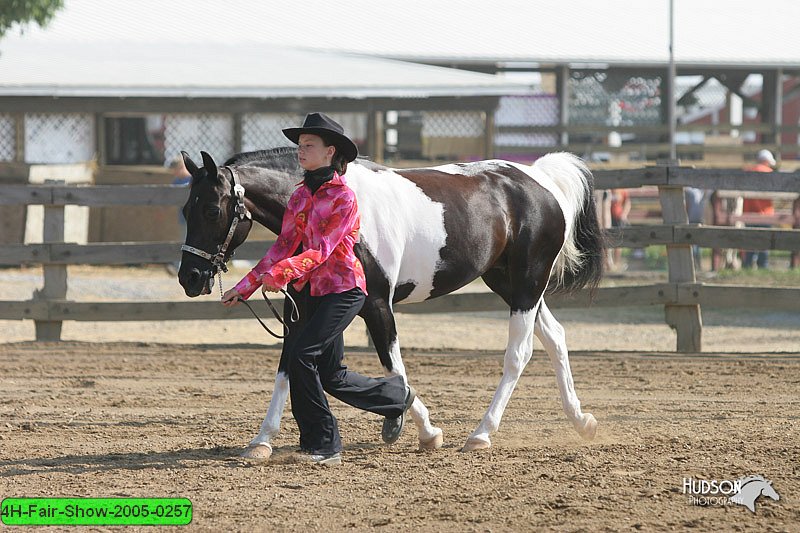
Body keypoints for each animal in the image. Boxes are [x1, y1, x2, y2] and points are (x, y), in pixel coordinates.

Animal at [177, 148, 600, 456]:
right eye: (185, 208)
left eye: (211, 209)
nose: (190, 278)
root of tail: (540, 180)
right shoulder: (299, 309)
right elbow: (286, 368)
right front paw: (262, 440)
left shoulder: (377, 304)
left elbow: (394, 367)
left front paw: (425, 431)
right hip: (508, 283)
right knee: (555, 337)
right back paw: (582, 421)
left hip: (528, 283)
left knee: (519, 352)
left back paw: (482, 434)